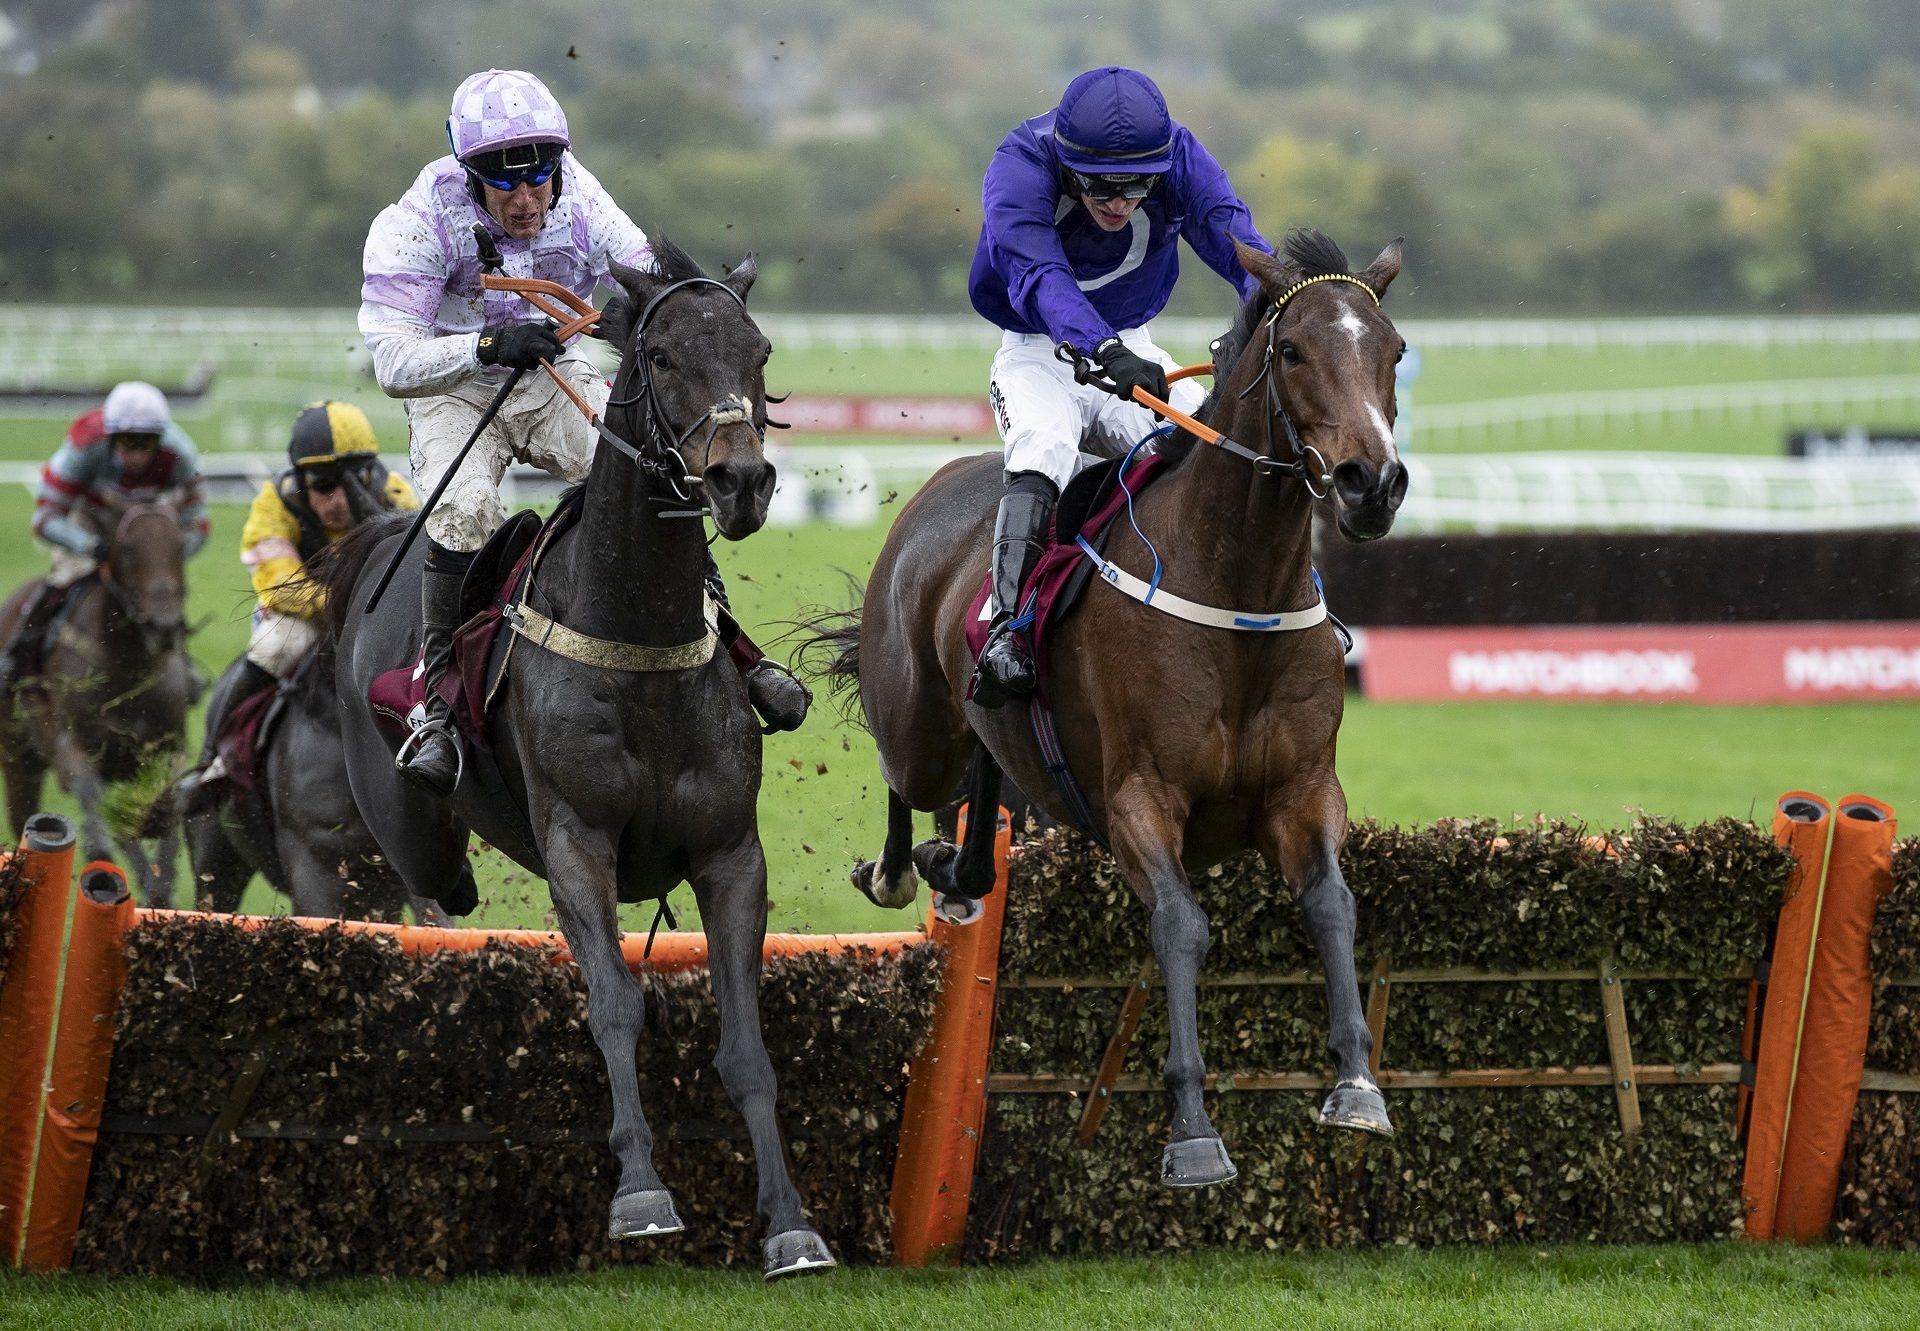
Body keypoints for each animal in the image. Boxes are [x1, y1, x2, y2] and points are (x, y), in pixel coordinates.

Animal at [0, 499, 192, 902]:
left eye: (180, 545)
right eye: (129, 548)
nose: (164, 626)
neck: (128, 670)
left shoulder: (166, 750)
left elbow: (162, 818)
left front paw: (159, 883)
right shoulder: (72, 748)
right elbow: (96, 805)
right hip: (17, 759)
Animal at [817, 225, 1405, 1183]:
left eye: (1393, 349)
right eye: (1291, 350)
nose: (1372, 483)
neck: (1237, 585)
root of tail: (939, 487)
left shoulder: (1305, 790)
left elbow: (1331, 905)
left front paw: (1357, 1085)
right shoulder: (1140, 795)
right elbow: (1180, 925)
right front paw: (1193, 1130)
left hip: (994, 733)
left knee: (986, 791)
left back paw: (960, 868)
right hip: (916, 724)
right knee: (903, 773)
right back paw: (901, 866)